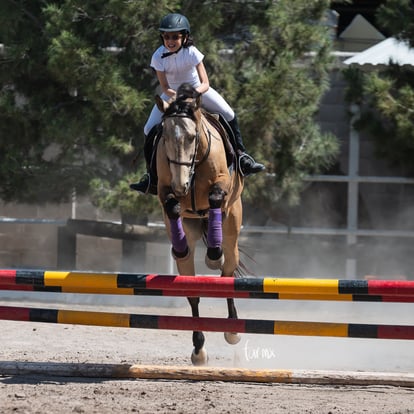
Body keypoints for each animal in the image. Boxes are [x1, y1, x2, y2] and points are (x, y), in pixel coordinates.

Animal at [155, 83, 246, 366]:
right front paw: (180, 246)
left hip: (232, 230)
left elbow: (216, 196)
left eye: (192, 137)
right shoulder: (164, 188)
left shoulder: (221, 186)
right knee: (193, 292)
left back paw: (232, 330)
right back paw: (198, 349)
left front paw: (213, 255)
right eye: (164, 138)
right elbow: (171, 206)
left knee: (227, 275)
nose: (181, 185)